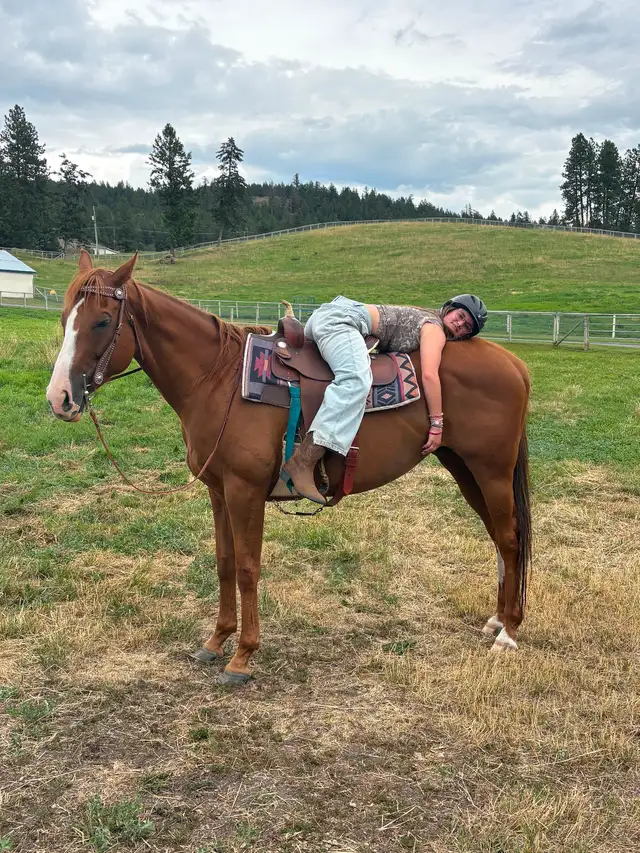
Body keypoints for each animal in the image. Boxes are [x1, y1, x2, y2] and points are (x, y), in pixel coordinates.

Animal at [46, 251, 532, 685]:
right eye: (66, 316)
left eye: (102, 321)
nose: (60, 398)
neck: (218, 380)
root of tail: (515, 364)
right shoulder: (219, 490)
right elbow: (224, 562)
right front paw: (216, 640)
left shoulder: (244, 491)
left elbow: (248, 567)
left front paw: (242, 656)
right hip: (465, 469)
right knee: (497, 536)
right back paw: (496, 620)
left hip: (490, 471)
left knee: (509, 539)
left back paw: (508, 633)